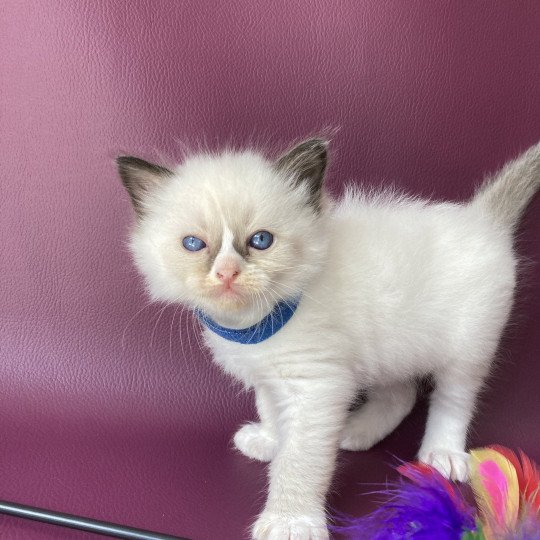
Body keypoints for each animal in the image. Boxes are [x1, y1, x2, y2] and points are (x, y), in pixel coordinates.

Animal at [117, 140, 540, 540]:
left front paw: (290, 522)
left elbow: (300, 460)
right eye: (193, 244)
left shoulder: (316, 386)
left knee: (454, 400)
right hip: (388, 347)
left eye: (261, 240)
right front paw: (270, 440)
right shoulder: (270, 377)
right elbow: (270, 410)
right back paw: (354, 432)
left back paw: (442, 453)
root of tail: (481, 218)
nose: (226, 273)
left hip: (468, 349)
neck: (257, 326)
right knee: (401, 394)